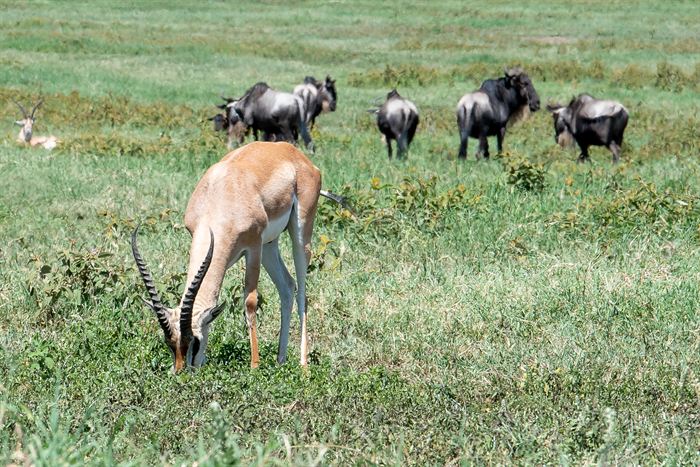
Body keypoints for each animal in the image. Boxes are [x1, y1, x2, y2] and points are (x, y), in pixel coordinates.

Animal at [132, 141, 341, 372]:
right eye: (170, 343)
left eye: (195, 340)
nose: (182, 372)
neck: (220, 195)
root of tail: (294, 153)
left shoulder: (253, 247)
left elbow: (250, 302)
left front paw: (254, 366)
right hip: (270, 245)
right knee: (287, 286)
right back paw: (280, 359)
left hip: (299, 235)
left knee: (302, 292)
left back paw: (303, 365)